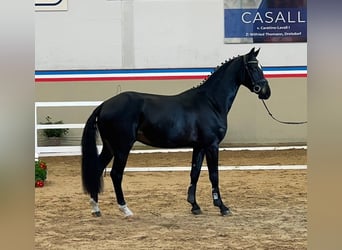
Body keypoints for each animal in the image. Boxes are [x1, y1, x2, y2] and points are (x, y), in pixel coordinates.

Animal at [80, 48, 270, 217]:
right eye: (253, 67)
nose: (266, 92)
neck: (210, 102)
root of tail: (104, 105)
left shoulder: (199, 147)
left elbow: (194, 173)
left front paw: (194, 206)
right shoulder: (212, 145)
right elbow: (214, 175)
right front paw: (222, 207)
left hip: (109, 147)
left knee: (97, 169)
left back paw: (96, 208)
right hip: (122, 148)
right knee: (116, 174)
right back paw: (125, 209)